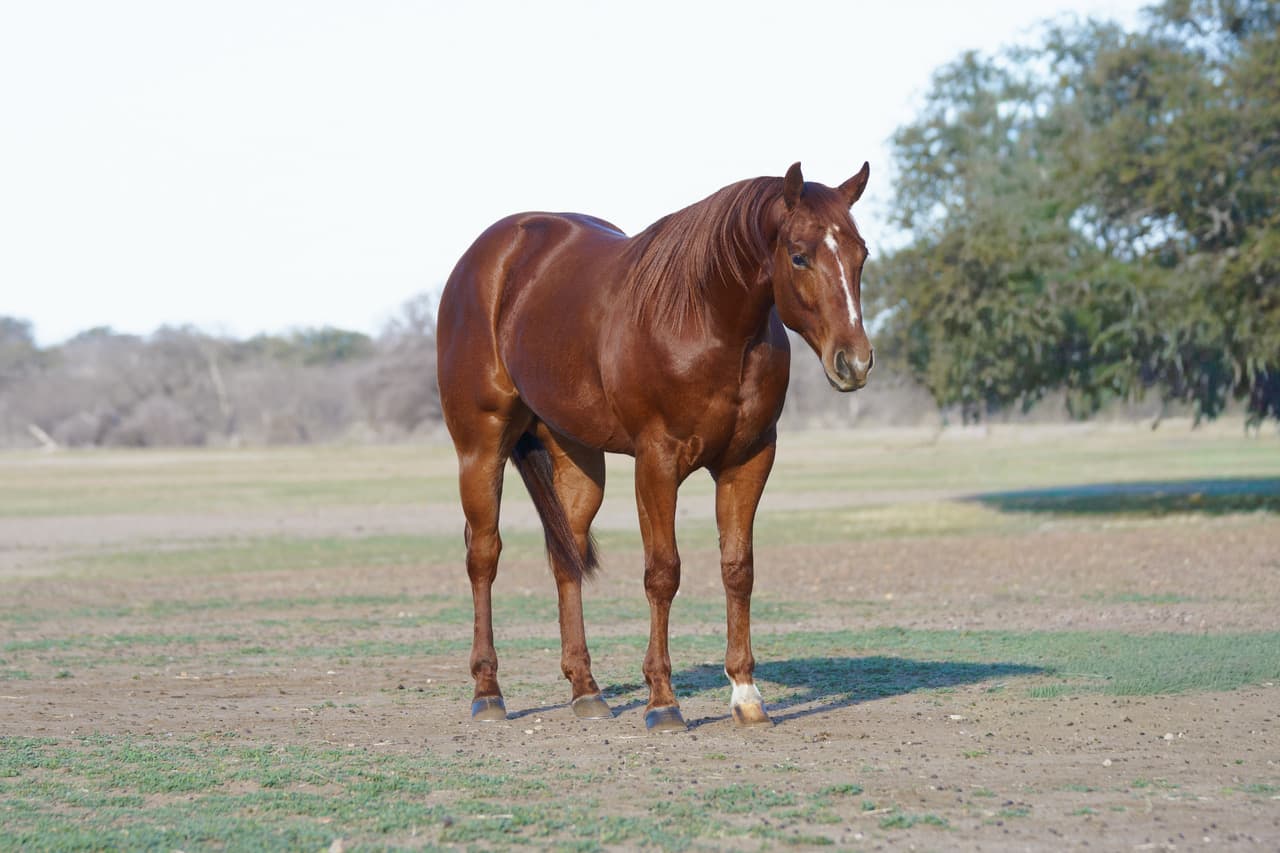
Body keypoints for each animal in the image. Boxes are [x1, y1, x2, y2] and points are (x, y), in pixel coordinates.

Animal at [436, 162, 874, 732]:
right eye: (799, 255)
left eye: (861, 254)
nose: (855, 362)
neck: (706, 319)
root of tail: (489, 255)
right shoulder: (657, 462)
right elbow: (663, 573)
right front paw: (663, 701)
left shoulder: (749, 460)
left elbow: (738, 569)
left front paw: (746, 695)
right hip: (481, 445)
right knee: (483, 555)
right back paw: (488, 692)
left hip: (579, 462)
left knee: (565, 557)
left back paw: (586, 690)